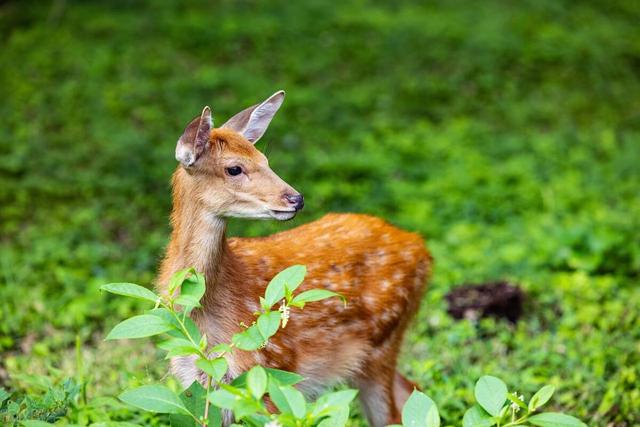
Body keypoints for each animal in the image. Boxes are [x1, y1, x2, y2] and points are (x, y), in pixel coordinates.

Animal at [158, 91, 432, 427]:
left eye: (265, 160)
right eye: (234, 168)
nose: (296, 199)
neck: (204, 318)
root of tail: (420, 247)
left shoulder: (270, 371)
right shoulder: (196, 382)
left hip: (382, 341)